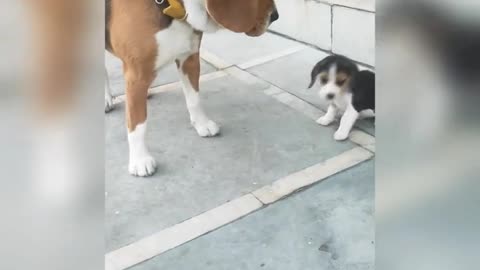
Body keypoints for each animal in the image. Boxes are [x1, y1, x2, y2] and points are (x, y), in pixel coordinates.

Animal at [104, 0, 278, 176]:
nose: (275, 16)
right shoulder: (136, 75)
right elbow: (137, 124)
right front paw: (140, 159)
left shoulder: (189, 58)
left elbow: (194, 100)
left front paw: (202, 124)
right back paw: (107, 100)